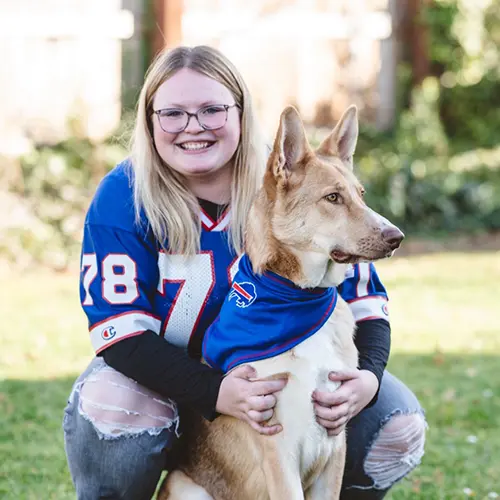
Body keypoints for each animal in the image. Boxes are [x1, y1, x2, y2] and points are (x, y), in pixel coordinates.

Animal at [158, 105, 404, 500]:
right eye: (332, 198)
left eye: (361, 194)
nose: (397, 236)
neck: (299, 297)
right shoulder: (279, 451)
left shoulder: (334, 448)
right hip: (186, 486)